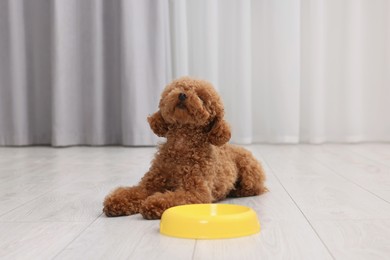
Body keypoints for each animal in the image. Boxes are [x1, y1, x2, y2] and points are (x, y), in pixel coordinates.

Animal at [103, 77, 268, 219]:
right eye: (177, 88)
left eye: (201, 97)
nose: (182, 95)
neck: (181, 146)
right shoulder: (149, 184)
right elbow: (135, 191)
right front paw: (116, 201)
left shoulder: (196, 192)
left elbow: (173, 198)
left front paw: (154, 203)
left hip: (249, 170)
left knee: (256, 188)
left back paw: (237, 191)